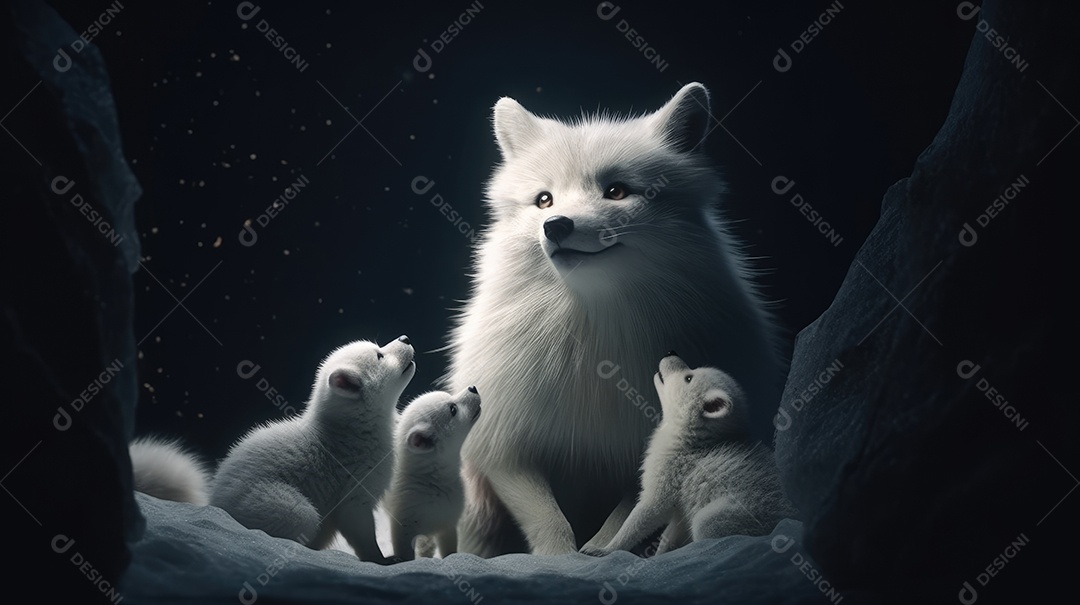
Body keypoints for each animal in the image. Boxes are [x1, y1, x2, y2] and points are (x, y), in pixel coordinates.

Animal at [444, 82, 785, 556]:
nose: (555, 225)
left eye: (617, 191)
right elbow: (549, 521)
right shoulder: (504, 447)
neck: (593, 341)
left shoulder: (642, 454)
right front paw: (559, 558)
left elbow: (623, 516)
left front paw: (599, 551)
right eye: (544, 199)